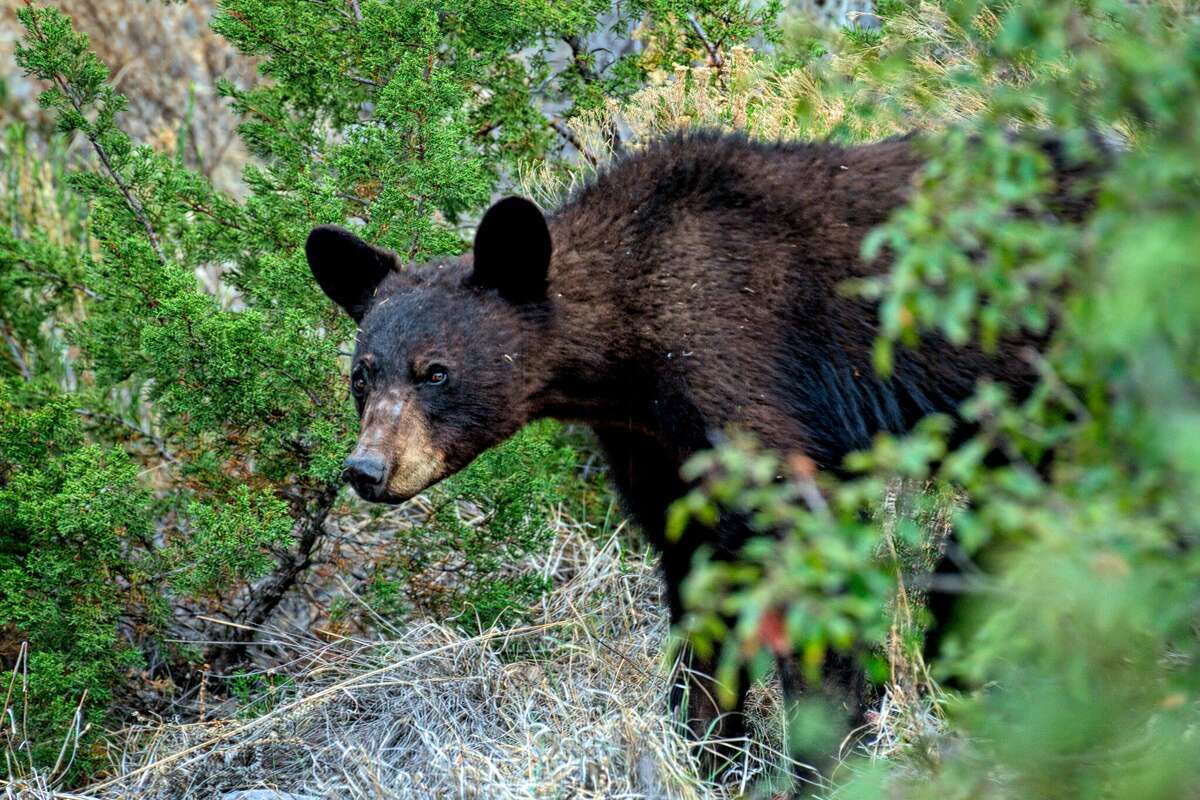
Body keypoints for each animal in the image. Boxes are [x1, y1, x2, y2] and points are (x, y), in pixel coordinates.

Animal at [304, 131, 1094, 782]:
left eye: (436, 372)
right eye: (362, 375)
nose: (367, 470)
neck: (631, 347)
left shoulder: (746, 379)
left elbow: (803, 547)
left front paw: (829, 751)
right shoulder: (655, 449)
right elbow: (701, 584)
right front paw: (708, 747)